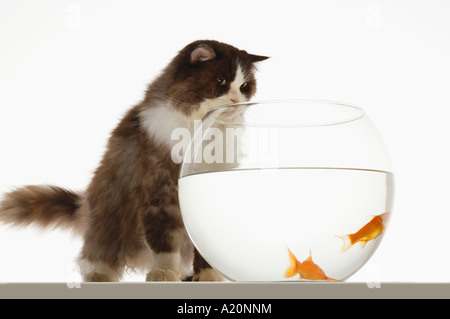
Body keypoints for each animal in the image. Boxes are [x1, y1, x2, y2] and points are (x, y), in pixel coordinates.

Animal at [0, 40, 268, 282]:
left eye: (245, 86)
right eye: (221, 82)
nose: (237, 101)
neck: (197, 129)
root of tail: (84, 205)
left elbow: (204, 249)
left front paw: (209, 276)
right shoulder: (159, 191)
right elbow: (163, 242)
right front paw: (163, 273)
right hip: (108, 217)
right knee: (95, 255)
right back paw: (100, 275)